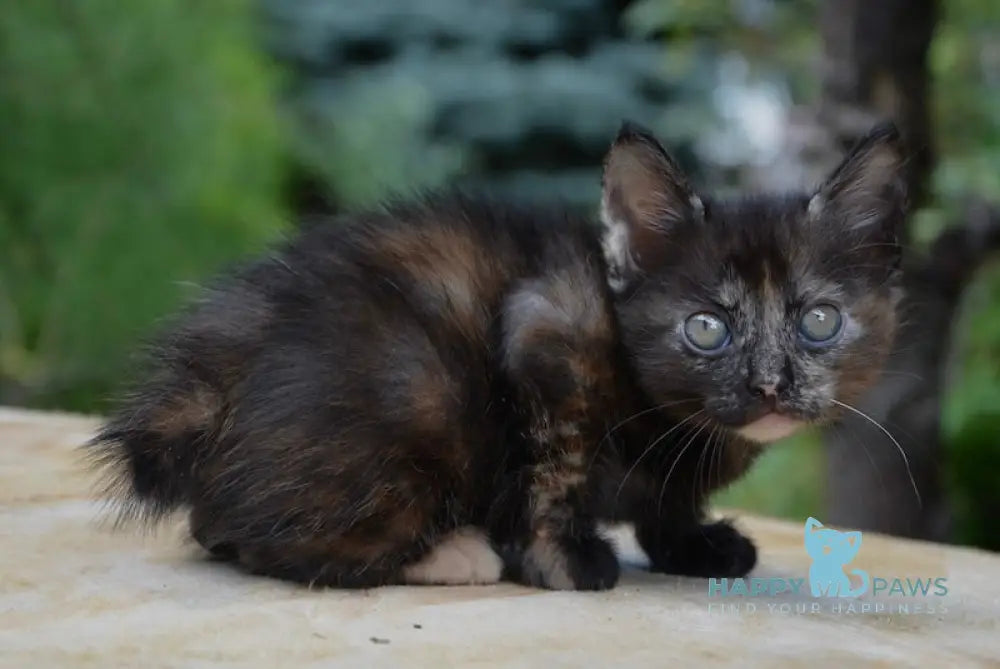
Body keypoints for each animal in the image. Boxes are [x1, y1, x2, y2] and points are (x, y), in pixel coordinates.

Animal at [90, 121, 912, 588]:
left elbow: (673, 497)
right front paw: (564, 562)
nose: (770, 385)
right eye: (706, 328)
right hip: (420, 385)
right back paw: (451, 553)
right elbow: (557, 465)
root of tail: (202, 384)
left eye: (819, 321)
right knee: (260, 533)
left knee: (216, 526)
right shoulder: (549, 327)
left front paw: (690, 542)